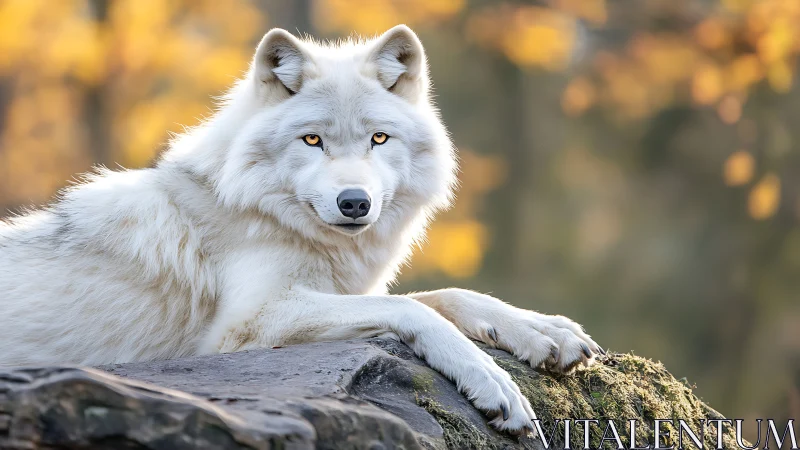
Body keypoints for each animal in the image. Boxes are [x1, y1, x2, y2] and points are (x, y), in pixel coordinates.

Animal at [0, 26, 602, 432]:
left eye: (379, 139)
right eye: (313, 140)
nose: (354, 202)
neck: (263, 210)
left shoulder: (344, 289)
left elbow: (446, 295)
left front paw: (543, 330)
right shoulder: (248, 323)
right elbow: (414, 309)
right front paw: (493, 382)